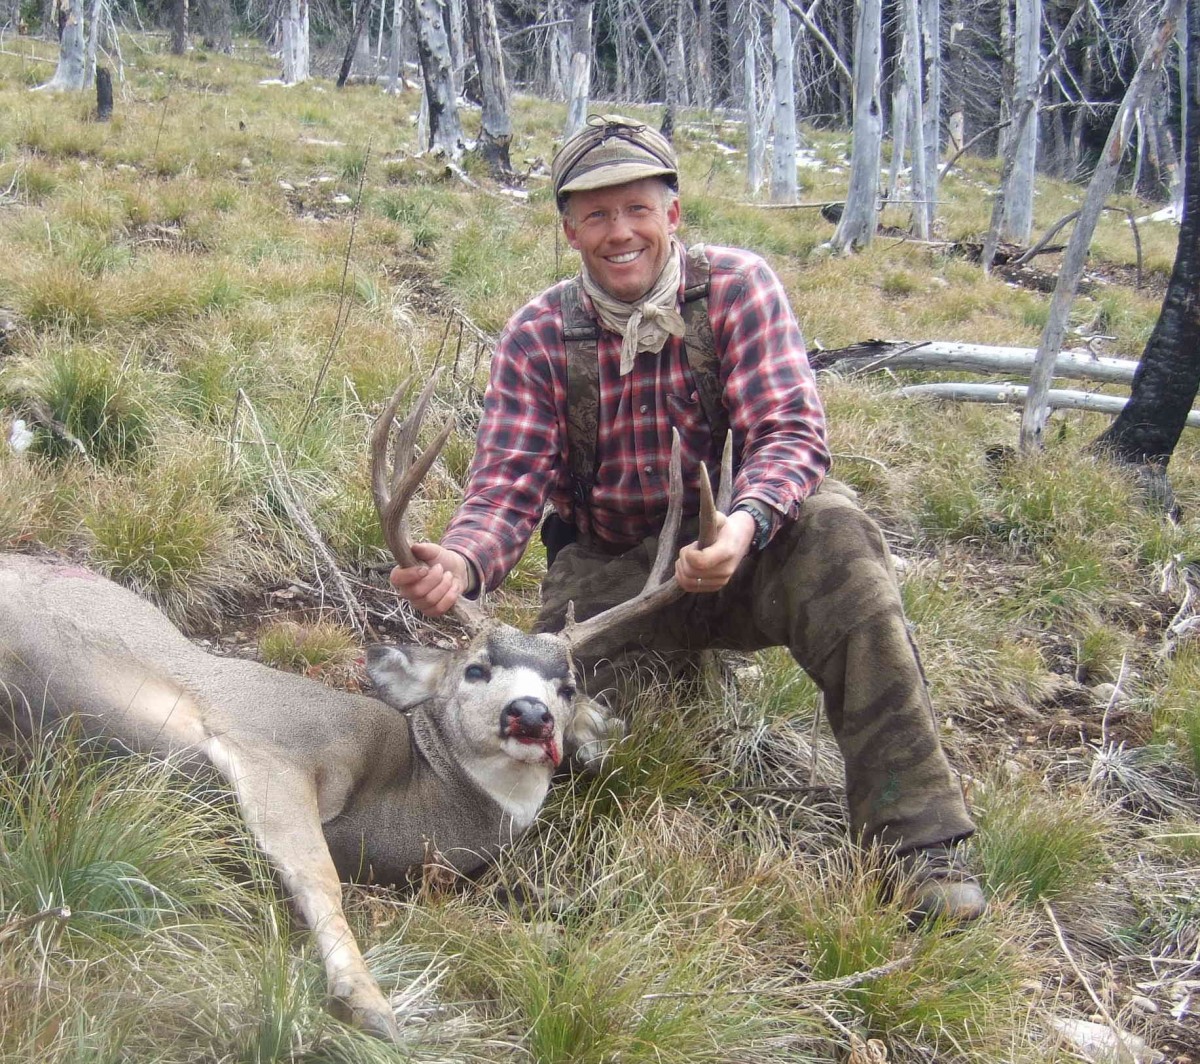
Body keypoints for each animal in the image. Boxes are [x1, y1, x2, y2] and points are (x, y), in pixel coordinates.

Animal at [0, 379, 724, 1046]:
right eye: (475, 667)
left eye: (568, 686)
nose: (529, 714)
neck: (411, 789)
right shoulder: (274, 737)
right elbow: (319, 875)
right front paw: (371, 1002)